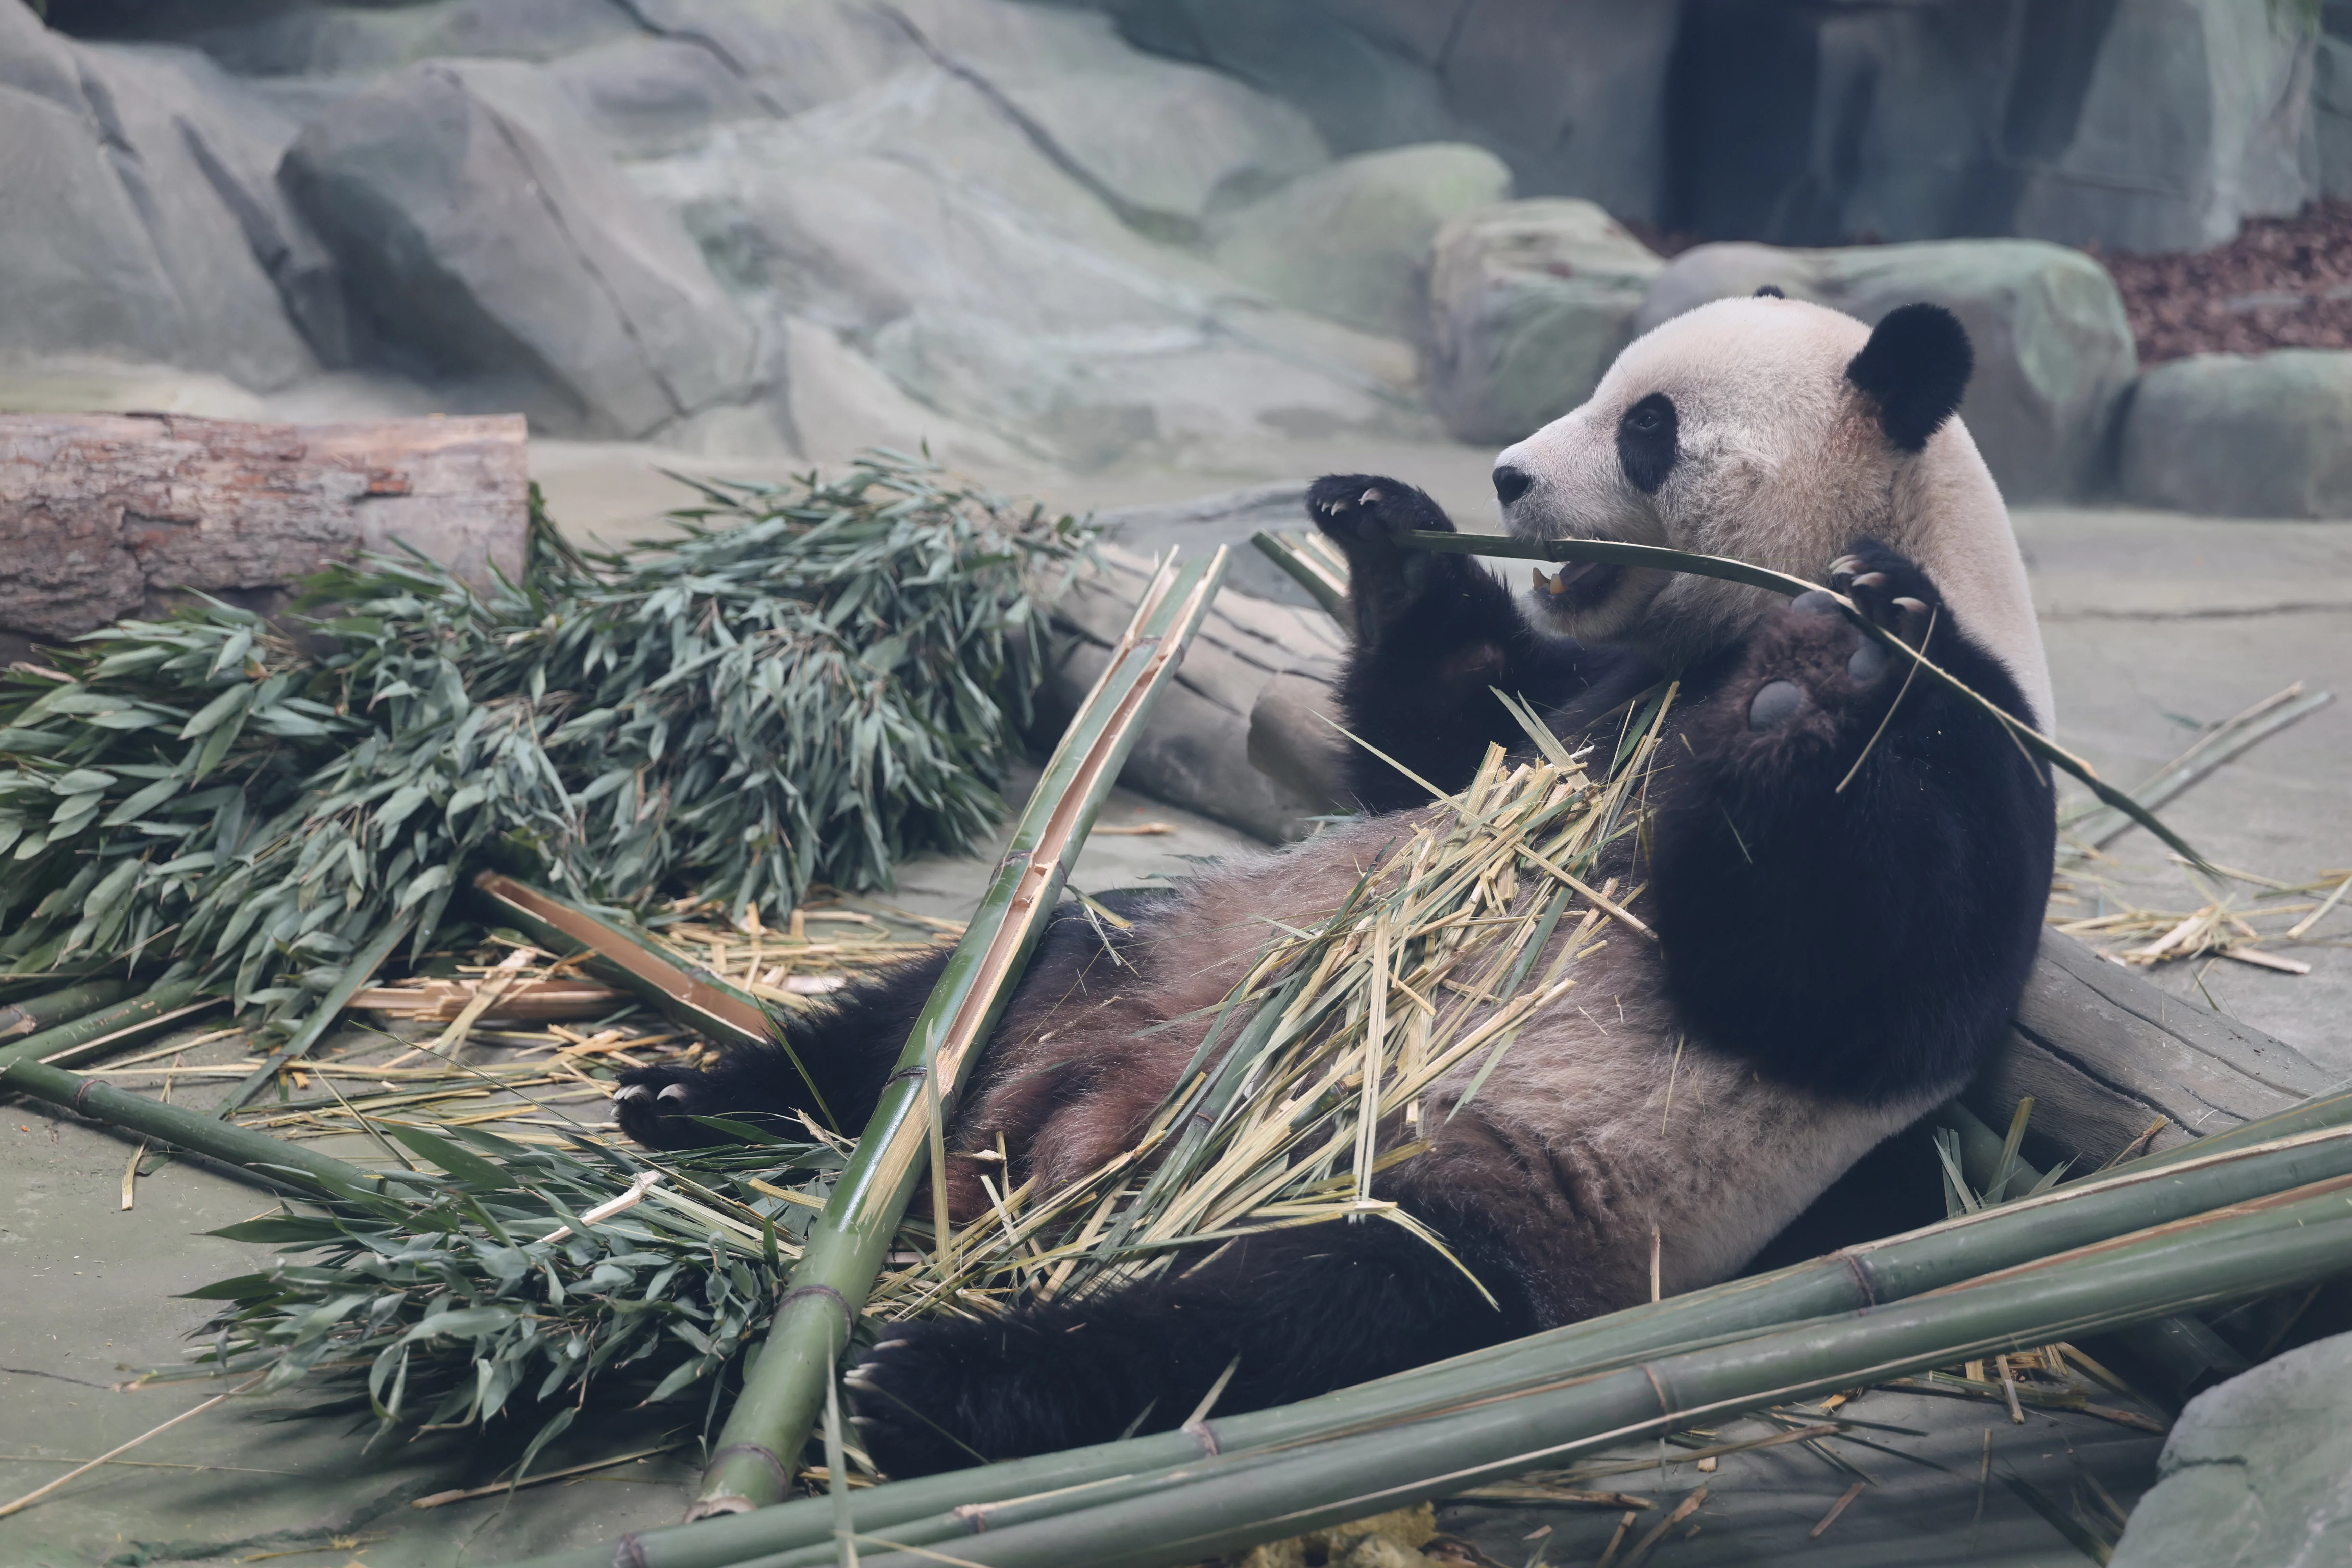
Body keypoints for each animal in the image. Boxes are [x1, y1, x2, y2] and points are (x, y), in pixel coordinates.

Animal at [610, 293, 2057, 1479]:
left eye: (1648, 427)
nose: (1507, 474)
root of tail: (1065, 1141)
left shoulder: (1986, 741)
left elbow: (1857, 980)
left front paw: (1817, 683)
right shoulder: (1579, 699)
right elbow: (1445, 729)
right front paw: (1386, 524)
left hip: (1475, 1189)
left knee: (1292, 1313)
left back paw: (934, 1383)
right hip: (1157, 960)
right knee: (959, 1003)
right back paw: (706, 1102)